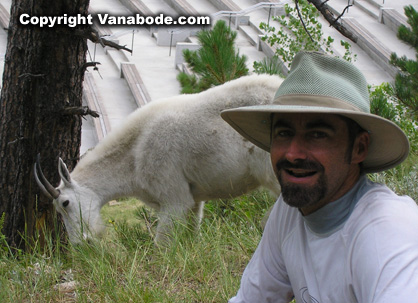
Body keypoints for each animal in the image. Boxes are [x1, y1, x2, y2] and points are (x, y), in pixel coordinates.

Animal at [36, 75, 282, 246]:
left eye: (65, 203)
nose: (80, 243)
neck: (133, 155)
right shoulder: (194, 199)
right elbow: (192, 234)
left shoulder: (173, 197)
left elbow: (161, 244)